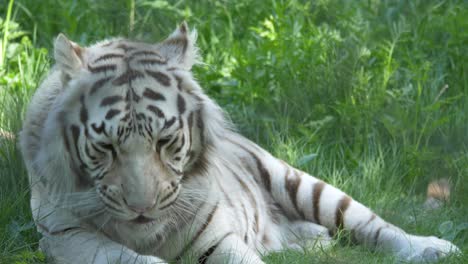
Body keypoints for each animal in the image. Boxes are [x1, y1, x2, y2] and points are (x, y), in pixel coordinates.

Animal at [20, 22, 458, 264]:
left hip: (303, 183)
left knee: (375, 226)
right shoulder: (67, 237)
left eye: (164, 140)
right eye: (106, 146)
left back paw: (434, 247)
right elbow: (123, 258)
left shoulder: (216, 239)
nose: (143, 208)